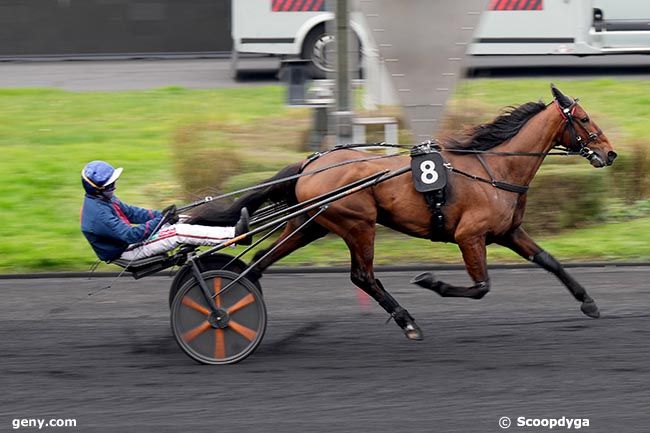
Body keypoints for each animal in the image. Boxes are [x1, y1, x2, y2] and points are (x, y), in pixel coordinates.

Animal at [191, 84, 612, 340]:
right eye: (584, 119)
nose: (610, 153)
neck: (495, 170)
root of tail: (312, 163)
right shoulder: (470, 236)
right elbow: (481, 287)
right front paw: (430, 281)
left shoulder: (508, 232)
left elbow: (550, 261)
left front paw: (588, 302)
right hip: (358, 223)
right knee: (362, 276)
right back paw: (407, 321)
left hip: (309, 224)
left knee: (260, 261)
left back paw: (231, 300)